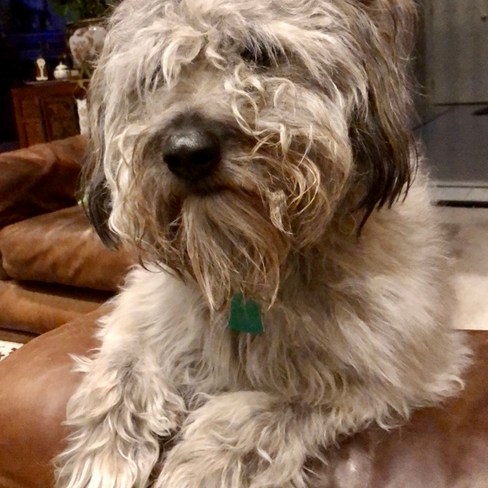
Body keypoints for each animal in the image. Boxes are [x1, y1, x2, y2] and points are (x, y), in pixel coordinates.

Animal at [55, 0, 472, 487]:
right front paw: (100, 459)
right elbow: (120, 370)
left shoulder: (387, 373)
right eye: (156, 74)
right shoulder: (137, 316)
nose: (186, 152)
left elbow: (263, 408)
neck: (250, 265)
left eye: (257, 53)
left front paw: (198, 467)